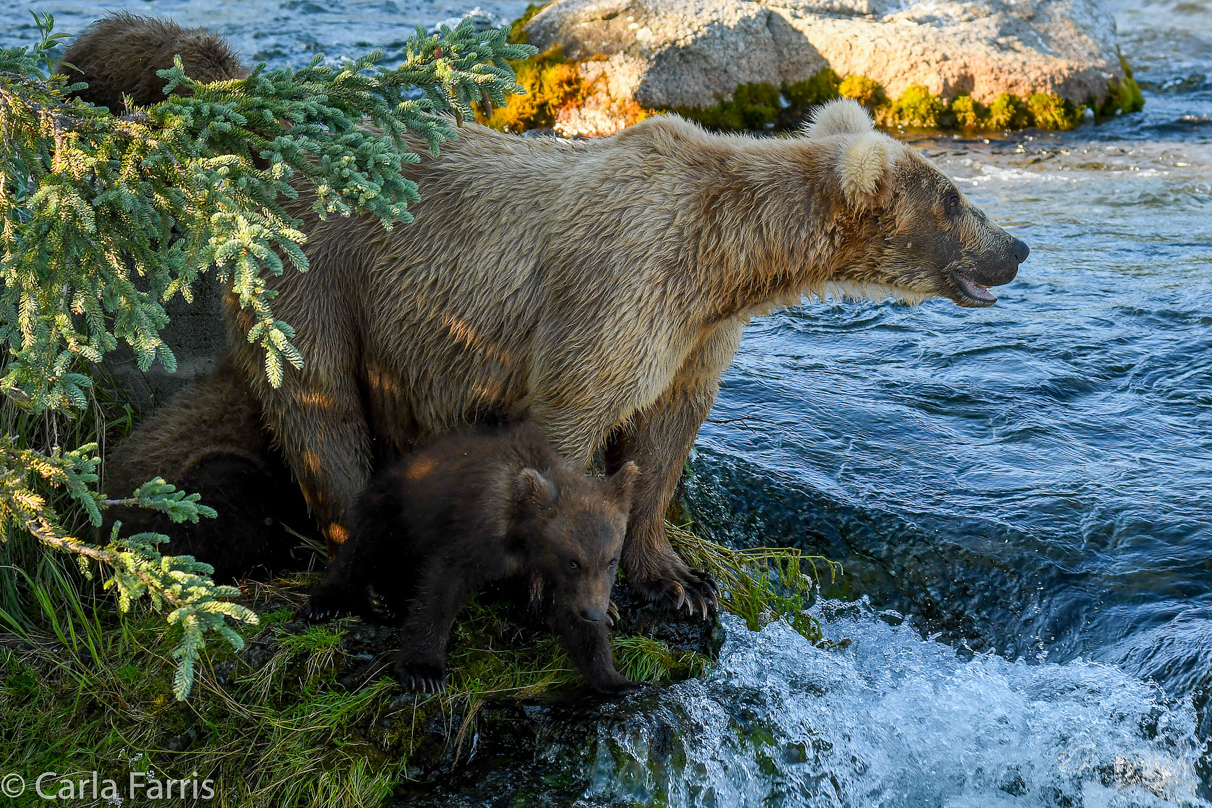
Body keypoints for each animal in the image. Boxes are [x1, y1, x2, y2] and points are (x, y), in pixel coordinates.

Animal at [80, 17, 1027, 612]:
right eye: (953, 198)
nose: (1017, 248)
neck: (726, 260)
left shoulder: (696, 334)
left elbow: (663, 440)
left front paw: (679, 582)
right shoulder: (619, 289)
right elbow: (578, 415)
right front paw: (565, 587)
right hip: (318, 274)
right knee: (317, 409)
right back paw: (374, 564)